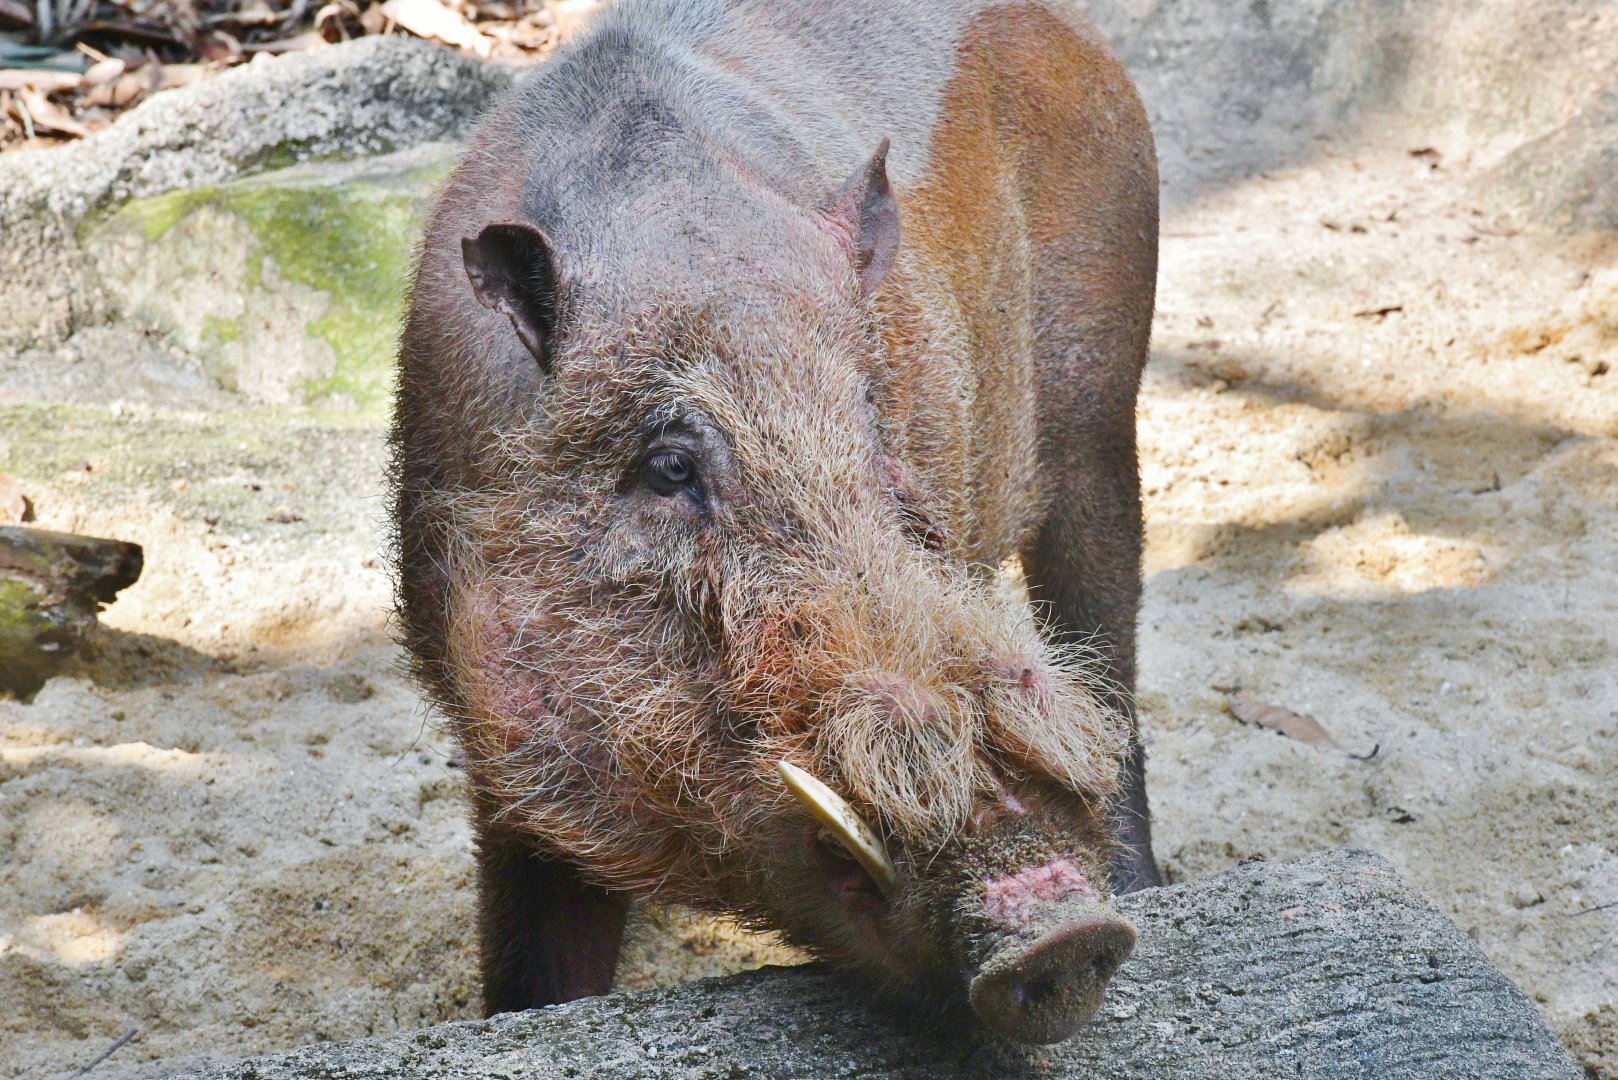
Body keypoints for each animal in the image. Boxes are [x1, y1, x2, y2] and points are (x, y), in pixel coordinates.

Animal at [390, 0, 1159, 1045]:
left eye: (874, 426)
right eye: (669, 467)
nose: (1063, 933)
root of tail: (1076, 35)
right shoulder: (494, 749)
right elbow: (535, 970)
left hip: (1099, 413)